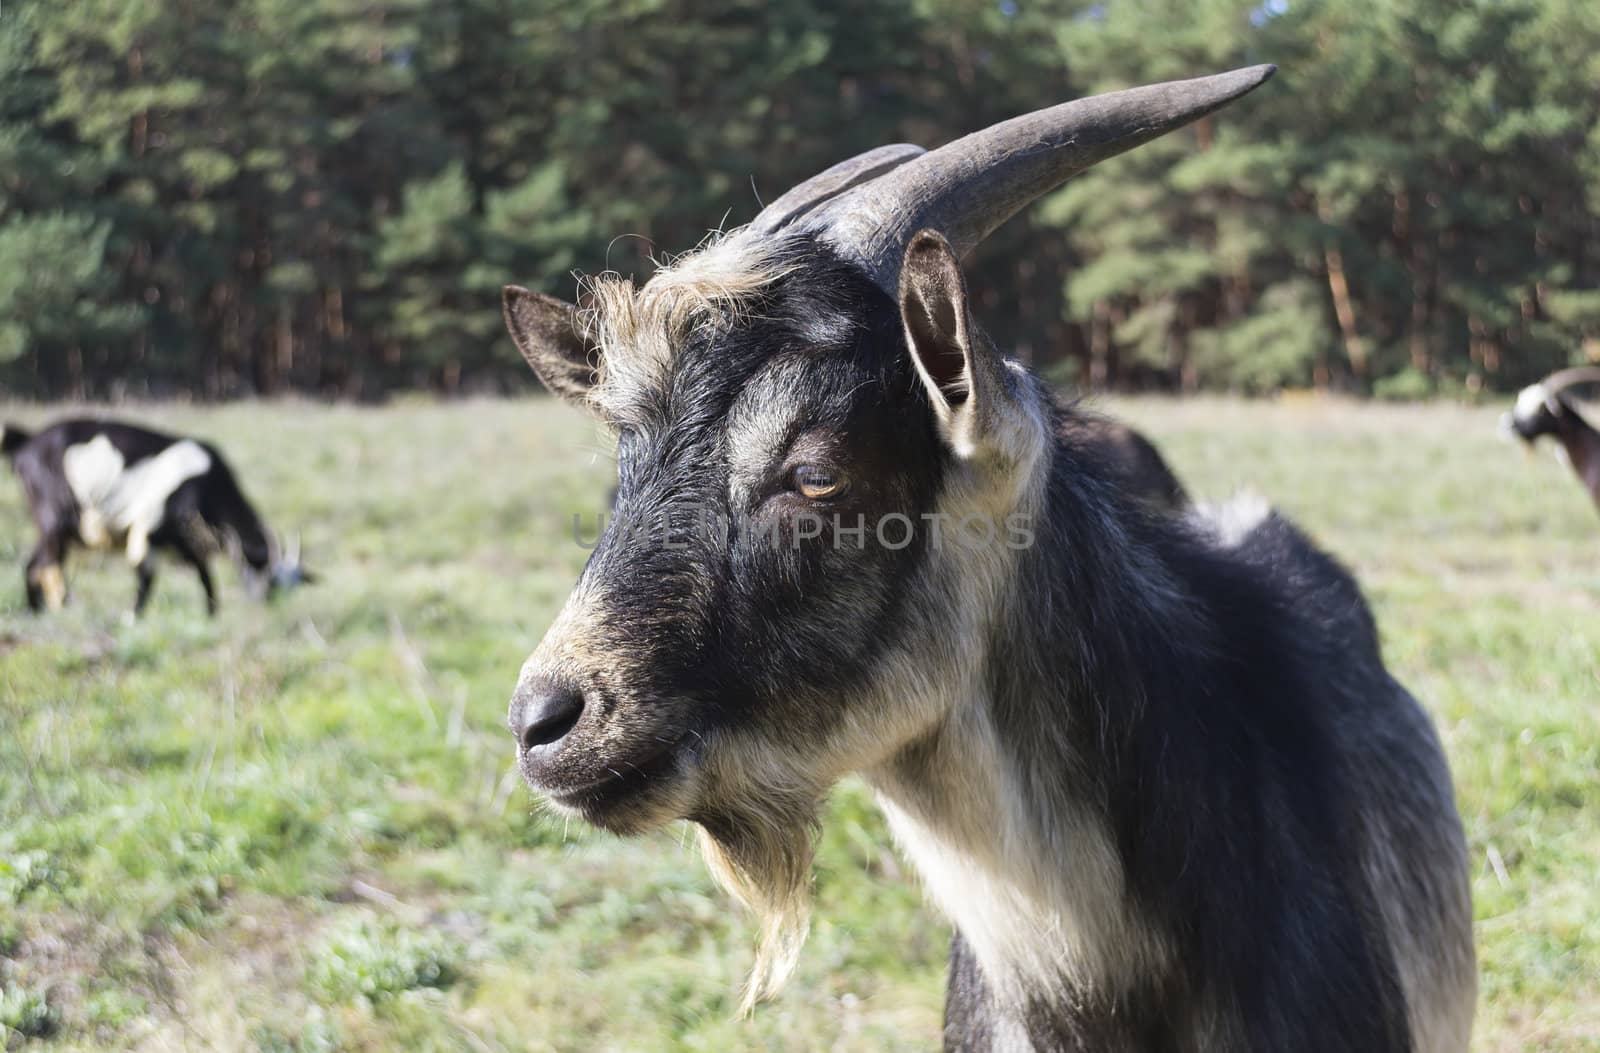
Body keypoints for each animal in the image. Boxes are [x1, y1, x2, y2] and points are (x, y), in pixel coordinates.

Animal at [0, 416, 308, 614]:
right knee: (45, 565)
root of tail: (26, 442)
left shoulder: (185, 541)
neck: (207, 484)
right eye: (268, 578)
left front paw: (211, 612)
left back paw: (37, 611)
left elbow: (204, 574)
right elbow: (146, 579)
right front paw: (133, 617)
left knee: (36, 565)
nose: (269, 607)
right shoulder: (147, 528)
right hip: (55, 519)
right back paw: (54, 609)